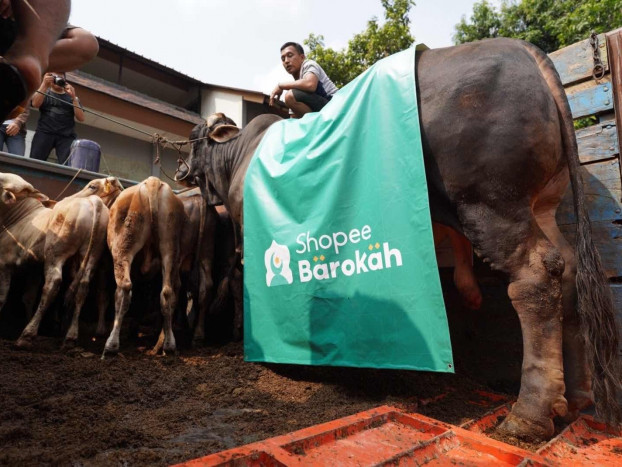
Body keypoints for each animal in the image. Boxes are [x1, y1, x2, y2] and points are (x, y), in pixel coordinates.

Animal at [177, 38, 622, 440]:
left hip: (492, 203)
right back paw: (574, 398)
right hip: (541, 205)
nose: (179, 168)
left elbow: (245, 282)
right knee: (569, 274)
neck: (234, 162)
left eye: (194, 135)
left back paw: (528, 415)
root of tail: (524, 51)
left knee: (535, 280)